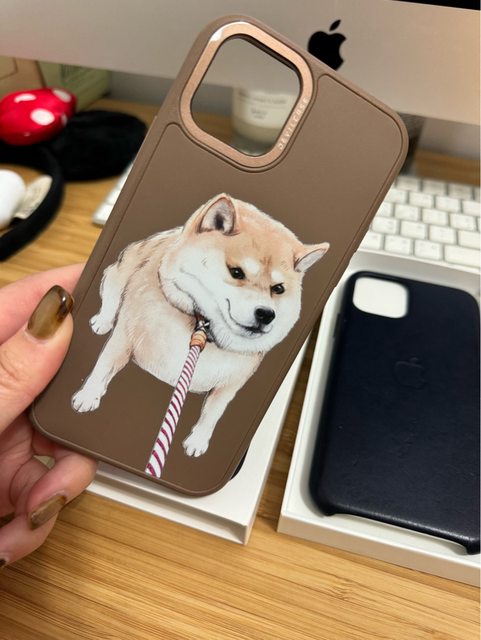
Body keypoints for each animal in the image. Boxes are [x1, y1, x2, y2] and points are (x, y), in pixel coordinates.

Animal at [72, 194, 329, 457]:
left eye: (278, 289)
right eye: (237, 272)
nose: (266, 314)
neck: (202, 328)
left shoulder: (229, 386)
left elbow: (212, 415)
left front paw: (198, 441)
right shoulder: (124, 337)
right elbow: (103, 367)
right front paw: (88, 395)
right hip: (120, 272)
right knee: (112, 292)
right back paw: (103, 320)